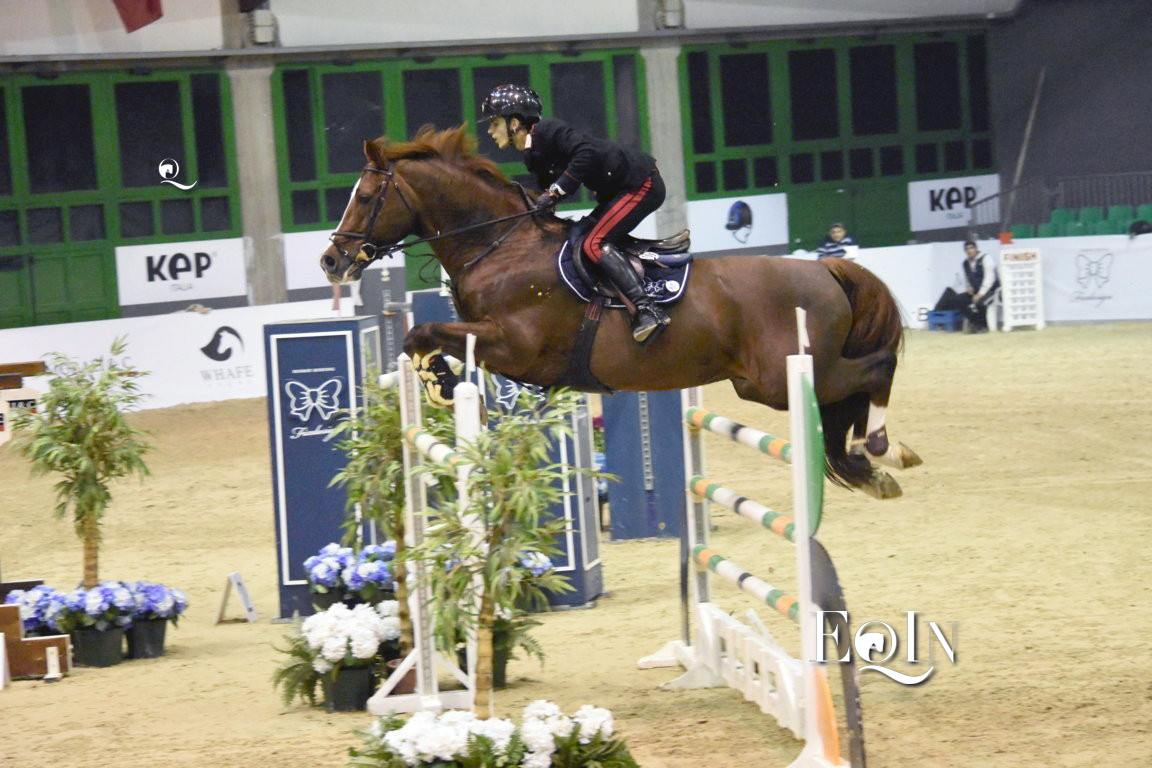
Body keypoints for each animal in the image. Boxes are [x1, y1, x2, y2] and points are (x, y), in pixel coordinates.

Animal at [320, 125, 920, 498]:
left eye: (366, 196)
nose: (332, 260)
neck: (498, 244)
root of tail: (827, 269)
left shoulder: (514, 345)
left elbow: (424, 329)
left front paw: (443, 388)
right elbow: (418, 336)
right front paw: (439, 384)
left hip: (784, 375)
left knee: (877, 368)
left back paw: (885, 449)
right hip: (762, 383)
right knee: (850, 396)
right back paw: (873, 465)